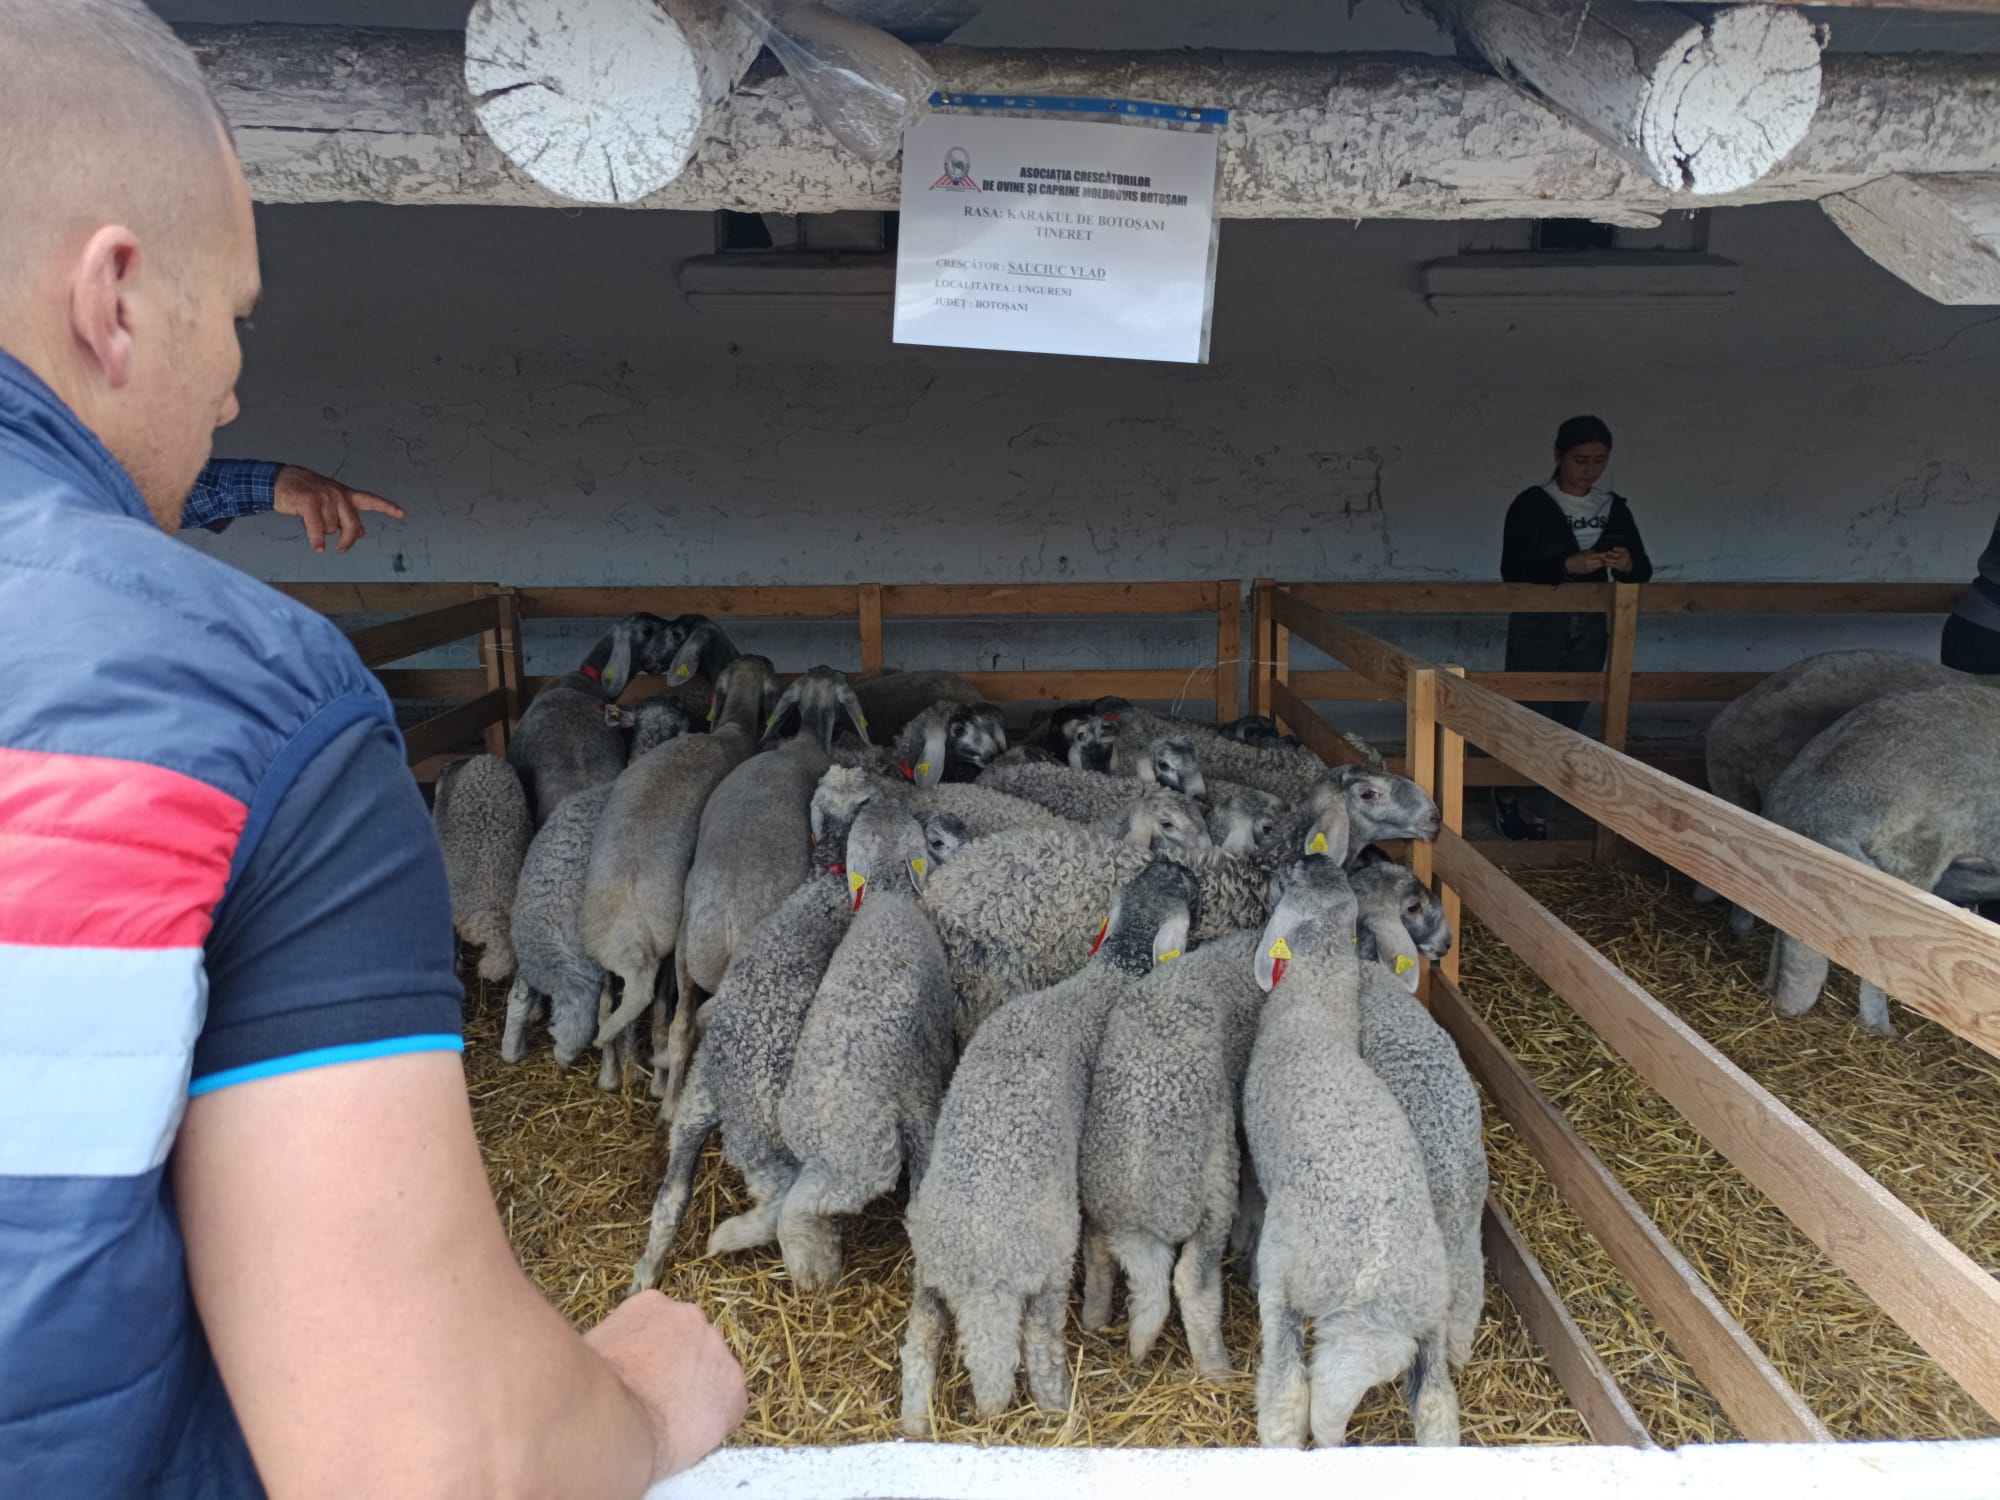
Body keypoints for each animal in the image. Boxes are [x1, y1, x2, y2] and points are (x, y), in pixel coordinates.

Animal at [580, 655, 779, 1102]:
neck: (732, 729)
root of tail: (630, 935)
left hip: (603, 950)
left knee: (607, 1003)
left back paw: (612, 1075)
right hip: (668, 946)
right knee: (662, 1012)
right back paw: (658, 1085)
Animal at [776, 802, 955, 1292]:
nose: (881, 801)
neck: (888, 894)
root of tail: (823, 1145)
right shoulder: (920, 1088)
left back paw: (814, 1261)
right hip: (869, 1162)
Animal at [900, 861, 1202, 1437]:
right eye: (1186, 890)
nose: (1179, 866)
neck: (1105, 977)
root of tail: (983, 1277)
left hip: (929, 1274)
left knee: (920, 1341)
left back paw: (913, 1420)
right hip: (1047, 1267)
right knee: (1039, 1343)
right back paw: (1058, 1404)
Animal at [1242, 851, 1458, 1448]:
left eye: (1283, 880)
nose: (1312, 855)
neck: (1314, 1007)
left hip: (1345, 1329)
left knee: (1311, 1402)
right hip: (1430, 1326)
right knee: (1437, 1408)